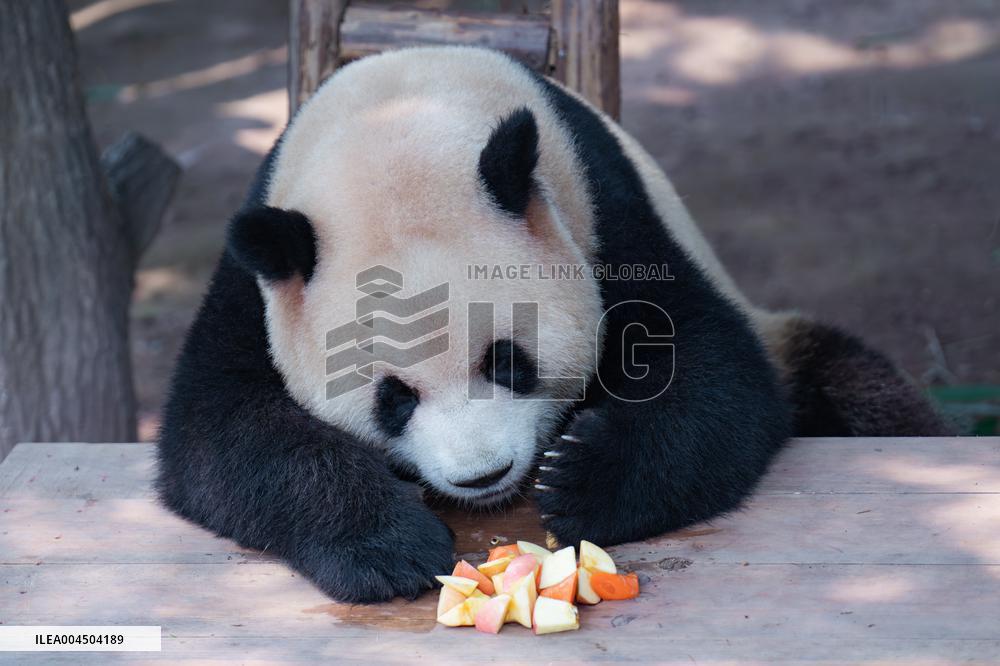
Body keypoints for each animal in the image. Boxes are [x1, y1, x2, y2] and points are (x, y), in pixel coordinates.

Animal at [157, 47, 948, 603]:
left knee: (863, 392)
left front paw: (579, 479)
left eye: (507, 359)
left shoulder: (601, 204)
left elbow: (712, 368)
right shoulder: (256, 280)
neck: (402, 113)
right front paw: (390, 545)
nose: (483, 475)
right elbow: (218, 431)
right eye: (393, 398)